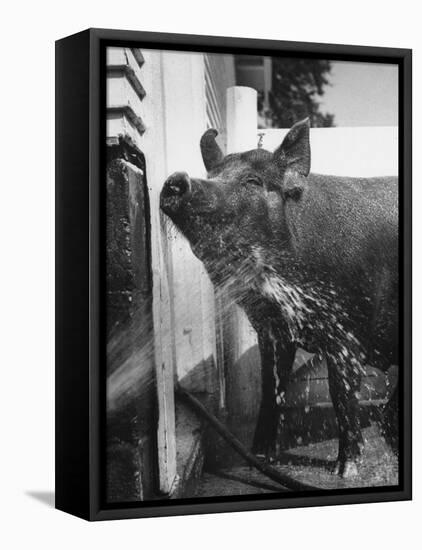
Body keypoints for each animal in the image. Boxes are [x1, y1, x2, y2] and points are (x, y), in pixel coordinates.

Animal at [160, 119, 398, 478]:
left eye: (253, 181)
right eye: (213, 173)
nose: (176, 180)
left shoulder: (346, 329)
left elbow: (341, 393)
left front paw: (345, 470)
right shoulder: (271, 330)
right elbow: (272, 389)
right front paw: (258, 457)